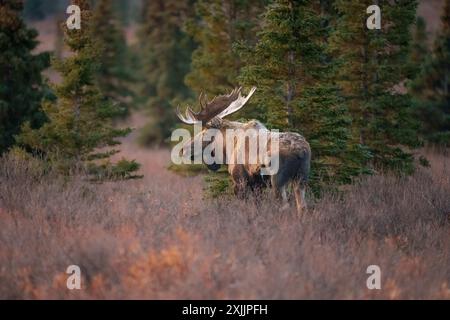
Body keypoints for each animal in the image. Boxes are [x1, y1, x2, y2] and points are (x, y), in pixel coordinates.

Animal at [178, 87, 312, 215]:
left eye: (204, 132)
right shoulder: (258, 186)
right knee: (302, 206)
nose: (183, 149)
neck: (228, 148)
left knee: (285, 206)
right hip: (301, 177)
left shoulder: (240, 181)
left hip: (278, 179)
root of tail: (301, 152)